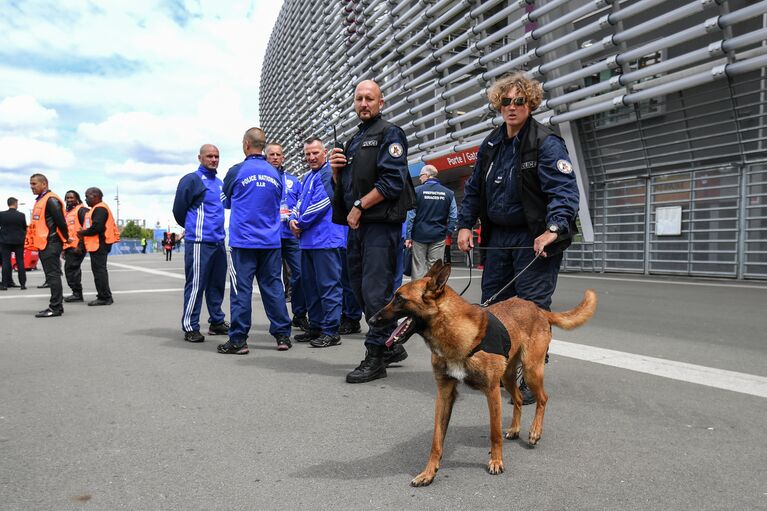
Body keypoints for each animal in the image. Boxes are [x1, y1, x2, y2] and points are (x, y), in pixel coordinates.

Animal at [368, 262, 596, 486]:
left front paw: (496, 461)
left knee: (542, 398)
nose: (370, 320)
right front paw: (429, 472)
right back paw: (515, 429)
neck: (454, 332)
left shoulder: (492, 391)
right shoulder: (444, 394)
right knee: (519, 399)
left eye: (399, 298)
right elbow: (436, 439)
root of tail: (538, 309)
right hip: (508, 376)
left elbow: (494, 433)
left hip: (531, 371)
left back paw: (535, 431)